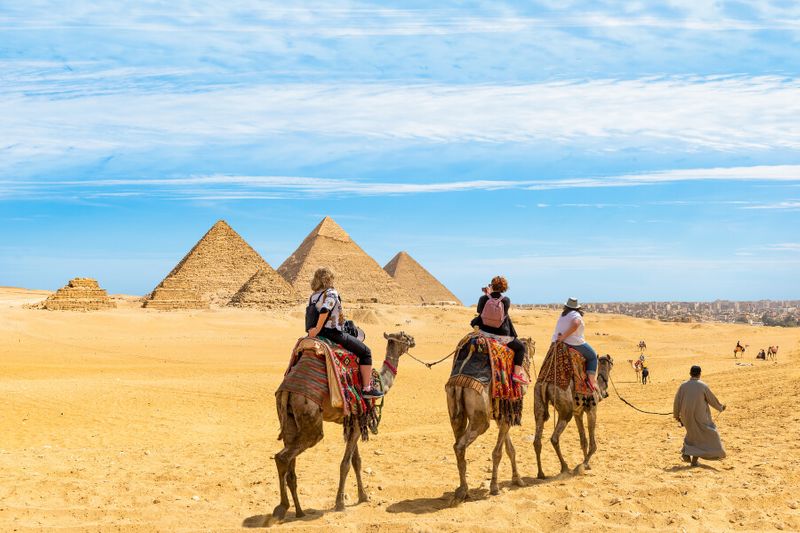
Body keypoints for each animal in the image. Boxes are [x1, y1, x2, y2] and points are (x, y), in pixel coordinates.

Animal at [270, 330, 418, 520]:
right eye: (404, 336)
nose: (413, 341)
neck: (379, 383)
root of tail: (288, 390)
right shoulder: (358, 421)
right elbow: (345, 464)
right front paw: (340, 504)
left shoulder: (353, 421)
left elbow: (356, 461)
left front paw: (363, 496)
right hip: (311, 422)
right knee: (283, 457)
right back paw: (282, 507)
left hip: (289, 420)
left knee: (290, 464)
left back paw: (299, 511)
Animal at [444, 336, 536, 502]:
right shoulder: (507, 413)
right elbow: (498, 453)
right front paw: (495, 487)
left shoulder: (501, 415)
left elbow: (510, 449)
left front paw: (517, 479)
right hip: (480, 419)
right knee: (460, 446)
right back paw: (463, 491)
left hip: (454, 408)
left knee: (458, 441)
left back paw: (462, 490)